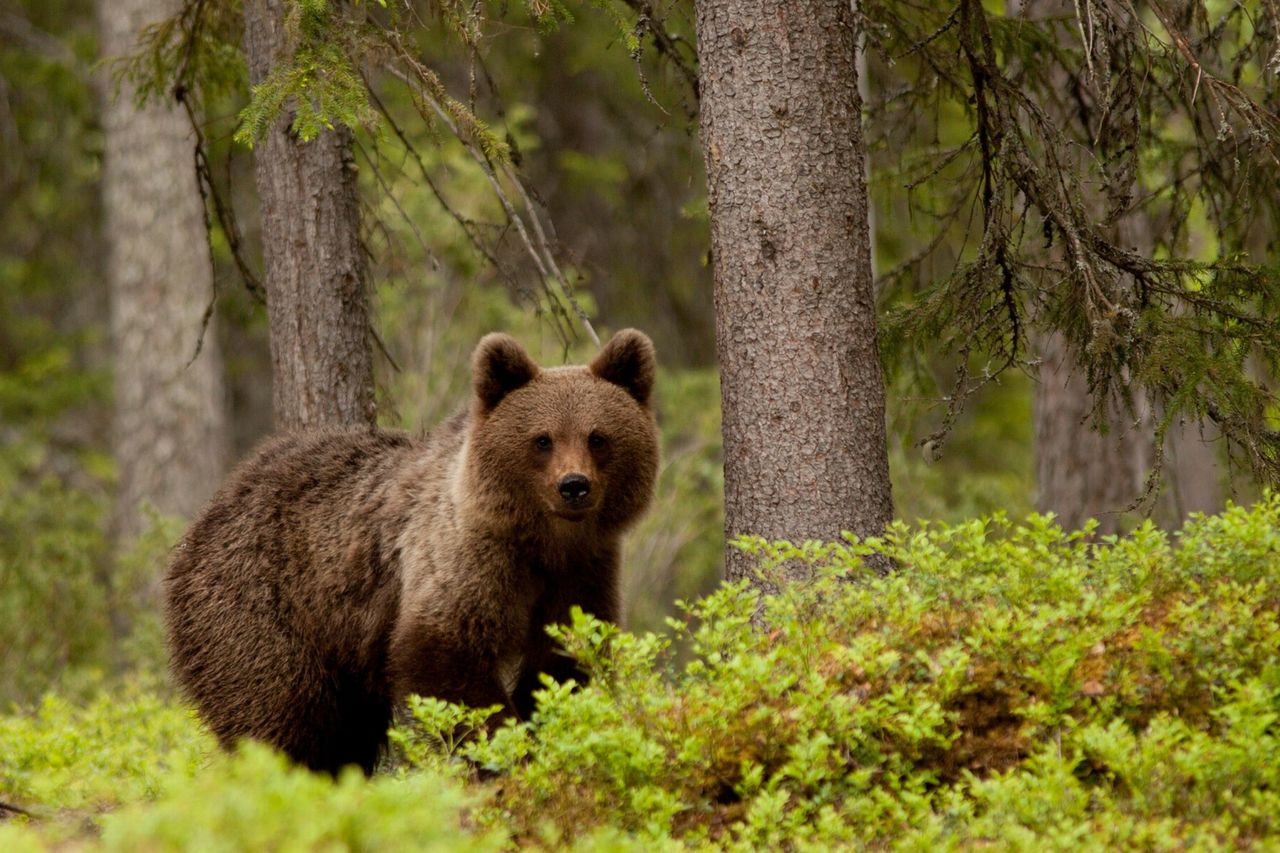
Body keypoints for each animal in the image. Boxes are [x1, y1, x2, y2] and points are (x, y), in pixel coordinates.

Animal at [162, 327, 660, 773]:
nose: (574, 486)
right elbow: (445, 656)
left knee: (346, 731)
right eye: (542, 439)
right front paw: (503, 747)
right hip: (262, 605)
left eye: (598, 436)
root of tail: (208, 513)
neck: (543, 542)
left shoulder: (583, 569)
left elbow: (565, 659)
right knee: (278, 715)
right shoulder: (465, 557)